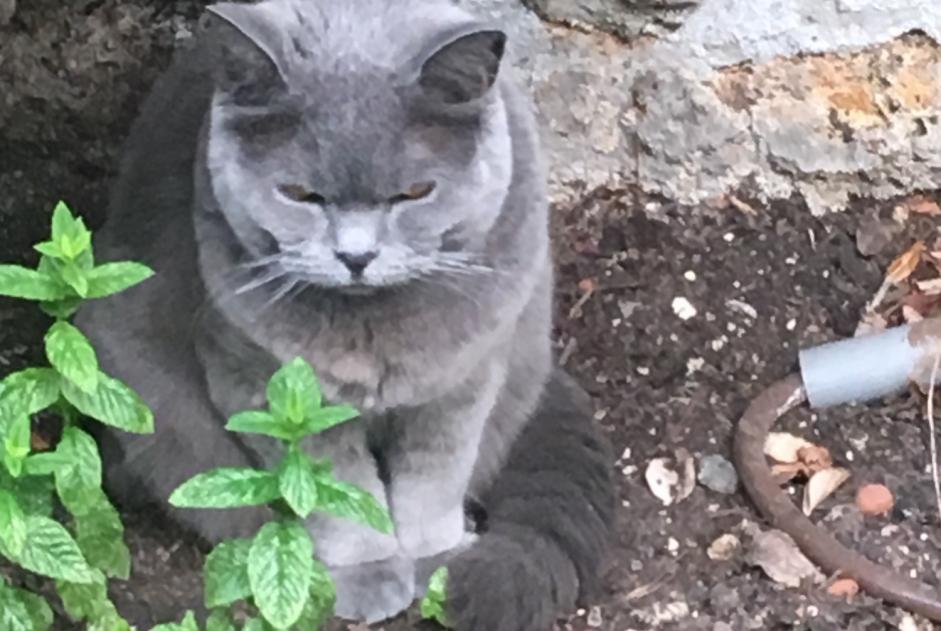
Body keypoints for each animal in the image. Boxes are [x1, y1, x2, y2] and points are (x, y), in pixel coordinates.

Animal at [77, 1, 612, 628]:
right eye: (300, 195)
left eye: (415, 193)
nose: (356, 256)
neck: (373, 334)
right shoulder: (262, 382)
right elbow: (335, 487)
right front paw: (369, 572)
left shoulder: (463, 380)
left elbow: (435, 476)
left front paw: (434, 563)